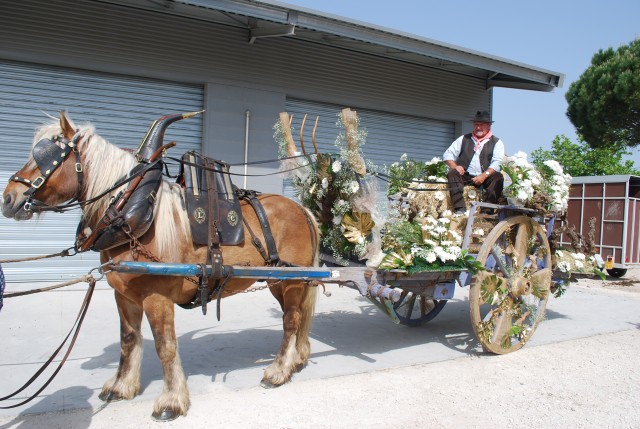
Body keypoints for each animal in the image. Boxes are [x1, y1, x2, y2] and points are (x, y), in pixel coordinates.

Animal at [0, 112, 320, 420]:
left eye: (49, 155)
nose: (8, 198)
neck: (134, 215)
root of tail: (301, 209)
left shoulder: (158, 298)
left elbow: (165, 347)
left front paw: (171, 401)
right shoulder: (124, 296)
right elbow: (128, 340)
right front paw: (121, 386)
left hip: (291, 280)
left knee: (291, 321)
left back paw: (278, 370)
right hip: (279, 280)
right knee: (295, 317)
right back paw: (296, 359)